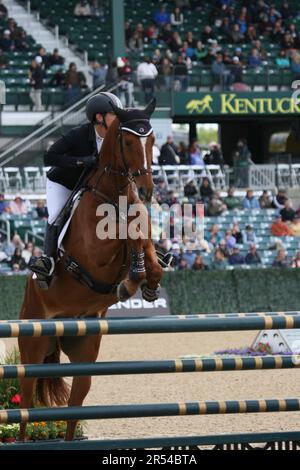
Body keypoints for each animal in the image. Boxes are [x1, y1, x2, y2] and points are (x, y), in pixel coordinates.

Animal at [17, 100, 163, 440]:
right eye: (128, 142)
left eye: (151, 140)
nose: (146, 191)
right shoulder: (95, 255)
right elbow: (126, 235)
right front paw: (132, 280)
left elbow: (144, 241)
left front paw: (146, 282)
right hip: (32, 349)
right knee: (26, 405)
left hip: (84, 352)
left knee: (74, 406)